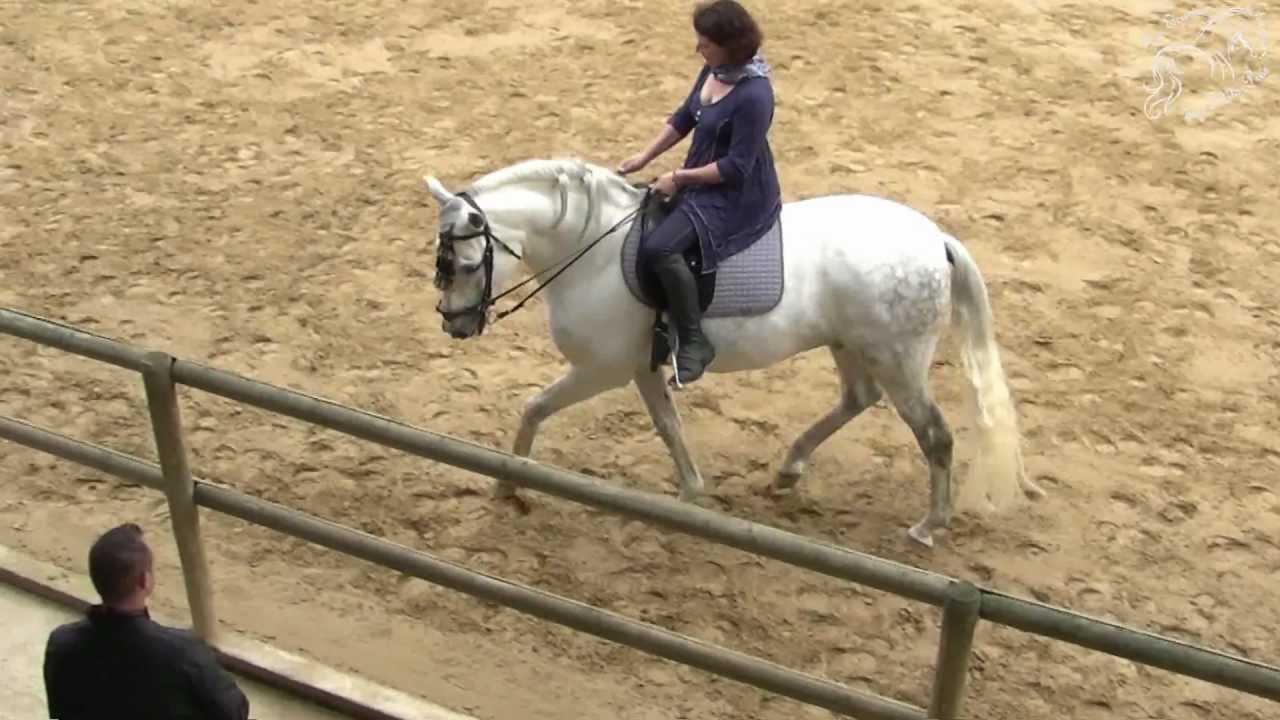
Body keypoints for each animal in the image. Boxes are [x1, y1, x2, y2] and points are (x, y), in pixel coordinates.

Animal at [422, 157, 1043, 547]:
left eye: (464, 264)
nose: (455, 325)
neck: (591, 247)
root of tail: (934, 240)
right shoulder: (642, 369)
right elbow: (668, 427)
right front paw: (692, 492)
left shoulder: (601, 369)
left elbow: (534, 407)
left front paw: (507, 483)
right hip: (851, 344)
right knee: (857, 399)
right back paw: (790, 468)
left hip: (898, 359)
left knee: (935, 436)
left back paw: (929, 526)